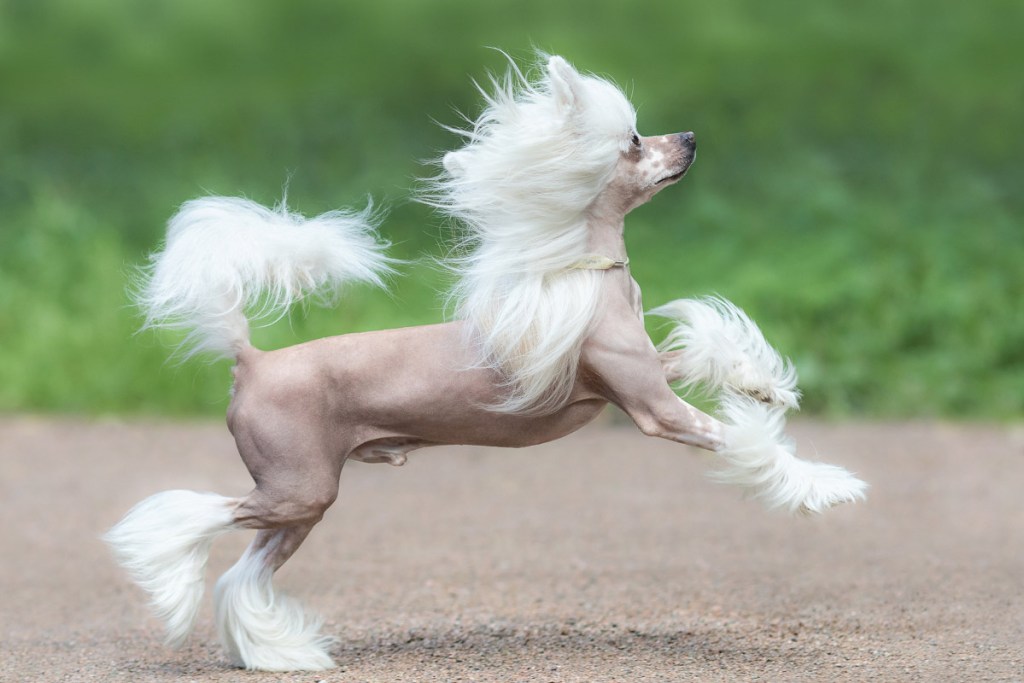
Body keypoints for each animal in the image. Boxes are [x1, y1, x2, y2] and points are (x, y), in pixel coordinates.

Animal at [105, 54, 864, 671]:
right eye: (632, 142)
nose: (691, 139)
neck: (584, 275)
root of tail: (252, 359)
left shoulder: (644, 376)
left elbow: (704, 352)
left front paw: (761, 384)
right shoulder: (654, 409)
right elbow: (745, 443)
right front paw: (825, 485)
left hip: (302, 504)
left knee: (242, 576)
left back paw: (278, 653)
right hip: (297, 488)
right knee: (196, 517)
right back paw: (159, 562)